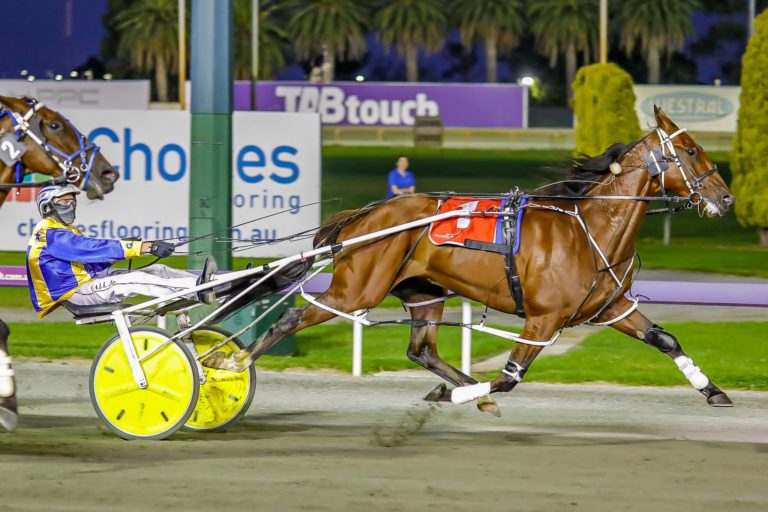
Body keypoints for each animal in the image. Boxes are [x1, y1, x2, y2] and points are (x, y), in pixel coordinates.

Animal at [203, 106, 735, 416]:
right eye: (690, 150)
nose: (726, 199)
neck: (588, 230)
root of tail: (366, 214)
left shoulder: (610, 307)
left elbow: (664, 338)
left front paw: (713, 390)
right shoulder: (543, 319)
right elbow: (509, 378)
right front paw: (459, 395)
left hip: (423, 291)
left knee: (422, 350)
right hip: (357, 288)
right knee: (290, 318)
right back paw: (229, 363)